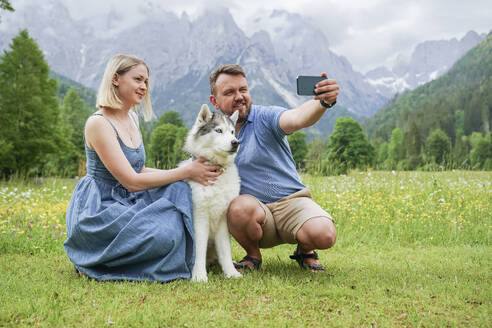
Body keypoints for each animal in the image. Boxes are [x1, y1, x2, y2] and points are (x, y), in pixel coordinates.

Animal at [181, 104, 242, 282]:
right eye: (219, 130)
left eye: (232, 132)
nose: (236, 143)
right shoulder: (200, 219)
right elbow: (199, 250)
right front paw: (199, 276)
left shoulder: (223, 220)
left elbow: (225, 251)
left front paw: (230, 272)